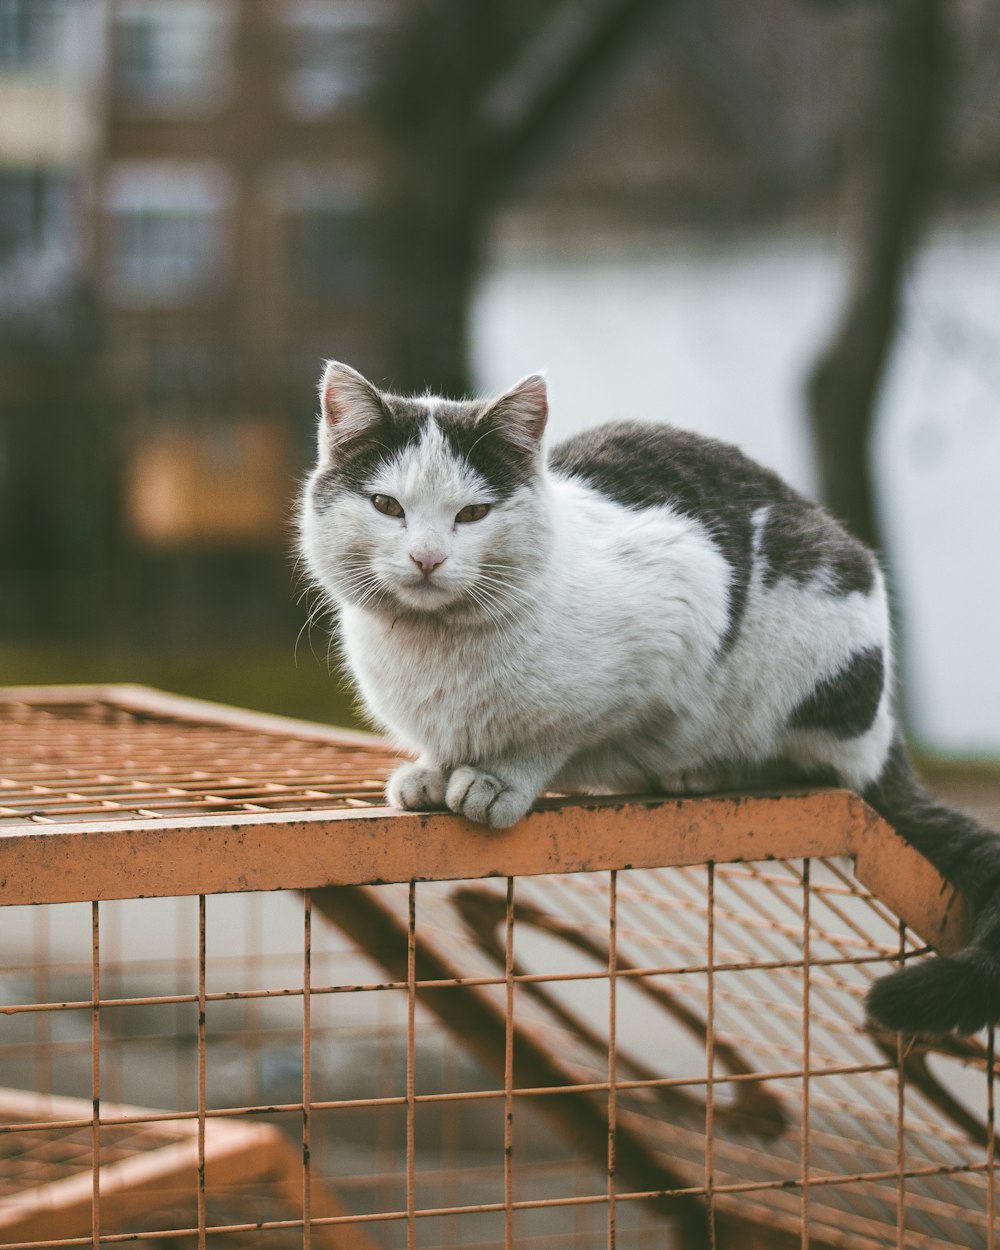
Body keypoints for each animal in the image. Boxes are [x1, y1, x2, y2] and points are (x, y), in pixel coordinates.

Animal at [298, 360, 1000, 1035]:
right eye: (386, 505)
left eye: (472, 514)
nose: (427, 558)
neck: (435, 647)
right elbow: (445, 747)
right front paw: (431, 773)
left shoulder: (676, 605)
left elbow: (555, 734)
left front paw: (500, 779)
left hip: (811, 656)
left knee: (811, 763)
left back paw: (704, 771)